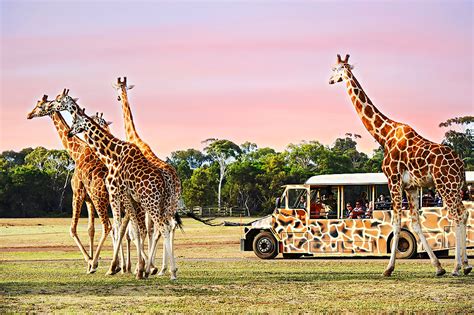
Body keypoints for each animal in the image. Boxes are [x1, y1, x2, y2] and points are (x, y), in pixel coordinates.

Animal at [27, 94, 112, 274]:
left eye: (40, 105)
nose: (29, 114)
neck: (77, 152)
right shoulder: (88, 199)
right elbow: (90, 229)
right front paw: (91, 264)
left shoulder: (78, 194)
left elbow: (73, 229)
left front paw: (91, 262)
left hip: (101, 198)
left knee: (109, 226)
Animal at [112, 78, 182, 278]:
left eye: (118, 92)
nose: (118, 98)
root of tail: (174, 179)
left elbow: (139, 230)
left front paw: (141, 267)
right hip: (170, 203)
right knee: (168, 226)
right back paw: (166, 268)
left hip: (158, 203)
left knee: (161, 227)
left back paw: (160, 268)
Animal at [330, 55, 470, 278]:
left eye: (335, 69)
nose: (329, 80)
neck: (384, 135)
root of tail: (460, 164)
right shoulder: (411, 186)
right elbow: (415, 223)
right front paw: (438, 267)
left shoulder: (393, 180)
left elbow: (396, 223)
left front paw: (388, 269)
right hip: (455, 187)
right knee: (463, 214)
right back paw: (465, 265)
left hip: (445, 186)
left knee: (456, 216)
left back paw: (456, 267)